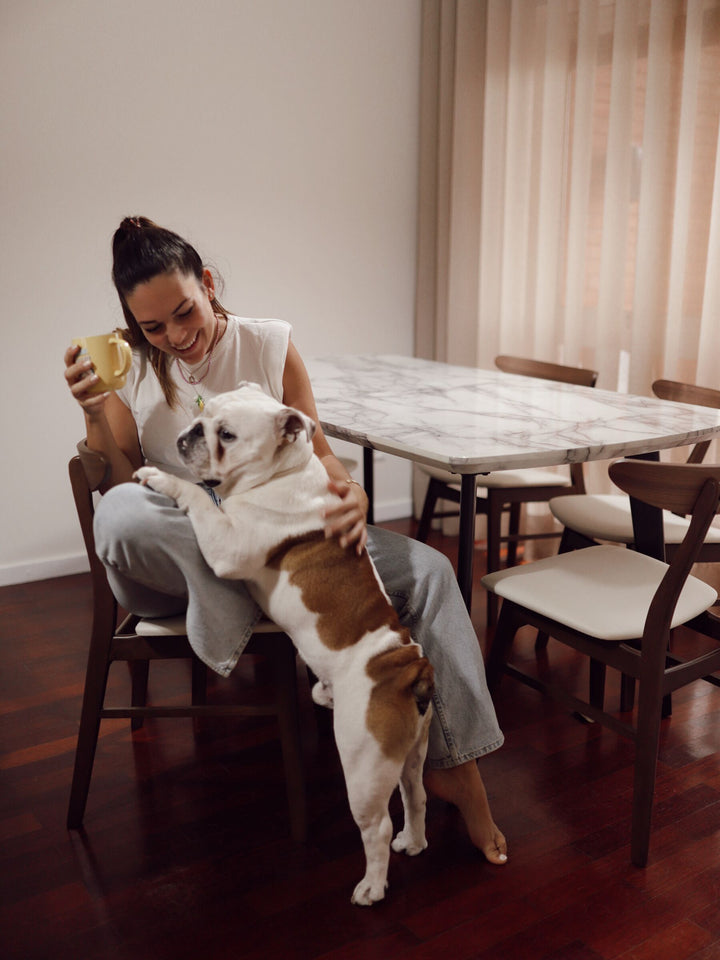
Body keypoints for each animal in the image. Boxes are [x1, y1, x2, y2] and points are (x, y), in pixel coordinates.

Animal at [138, 378, 436, 904]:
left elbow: (197, 495)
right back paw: (414, 842)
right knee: (415, 795)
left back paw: (371, 886)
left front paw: (160, 477)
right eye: (204, 415)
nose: (191, 433)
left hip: (363, 762)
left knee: (376, 827)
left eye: (227, 435)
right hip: (408, 752)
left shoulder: (227, 545)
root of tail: (408, 669)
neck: (281, 472)